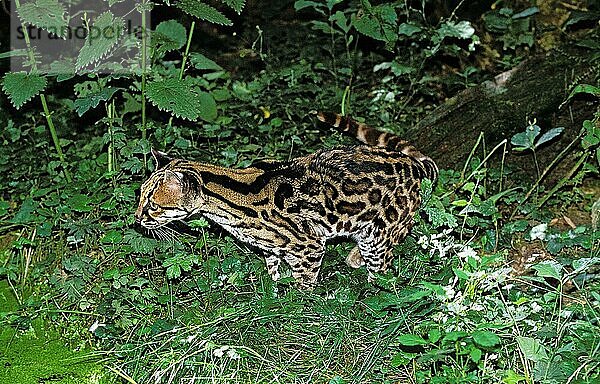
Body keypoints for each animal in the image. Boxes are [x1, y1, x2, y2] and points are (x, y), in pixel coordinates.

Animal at [135, 112, 436, 286]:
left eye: (153, 206)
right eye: (139, 197)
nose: (136, 220)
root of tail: (412, 165)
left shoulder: (309, 245)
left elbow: (305, 284)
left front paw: (300, 306)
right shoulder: (271, 246)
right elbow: (273, 268)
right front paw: (275, 289)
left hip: (381, 232)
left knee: (382, 272)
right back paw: (354, 256)